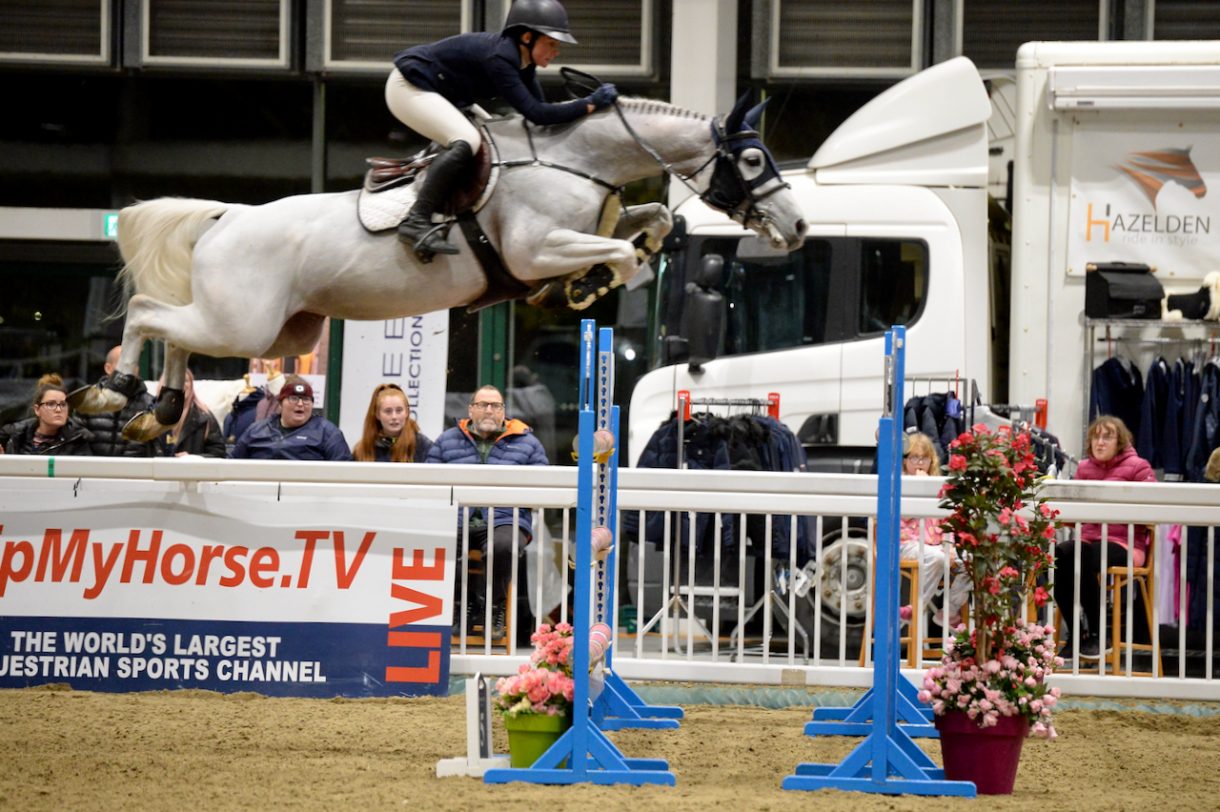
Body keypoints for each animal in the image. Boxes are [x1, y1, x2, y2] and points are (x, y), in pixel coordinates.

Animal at [70, 92, 808, 440]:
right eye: (752, 159)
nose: (798, 228)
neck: (577, 158)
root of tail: (228, 216)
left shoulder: (588, 228)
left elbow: (647, 226)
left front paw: (600, 273)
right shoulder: (535, 249)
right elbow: (622, 255)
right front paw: (581, 286)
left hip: (282, 329)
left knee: (176, 331)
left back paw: (158, 411)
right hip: (243, 324)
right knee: (150, 313)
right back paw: (117, 391)